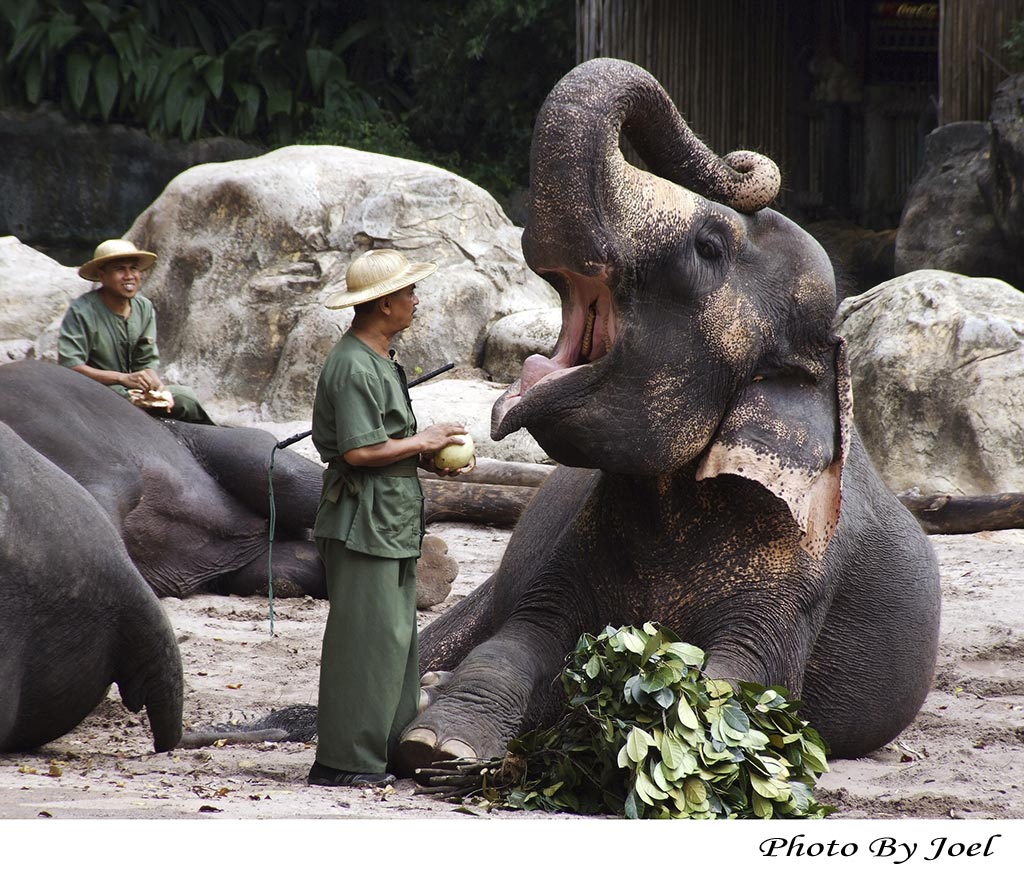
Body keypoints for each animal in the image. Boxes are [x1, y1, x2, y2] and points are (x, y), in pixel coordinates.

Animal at [395, 59, 937, 774]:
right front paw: (437, 741)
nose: (741, 160)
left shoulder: (801, 569)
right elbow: (521, 637)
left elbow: (737, 687)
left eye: (708, 247)